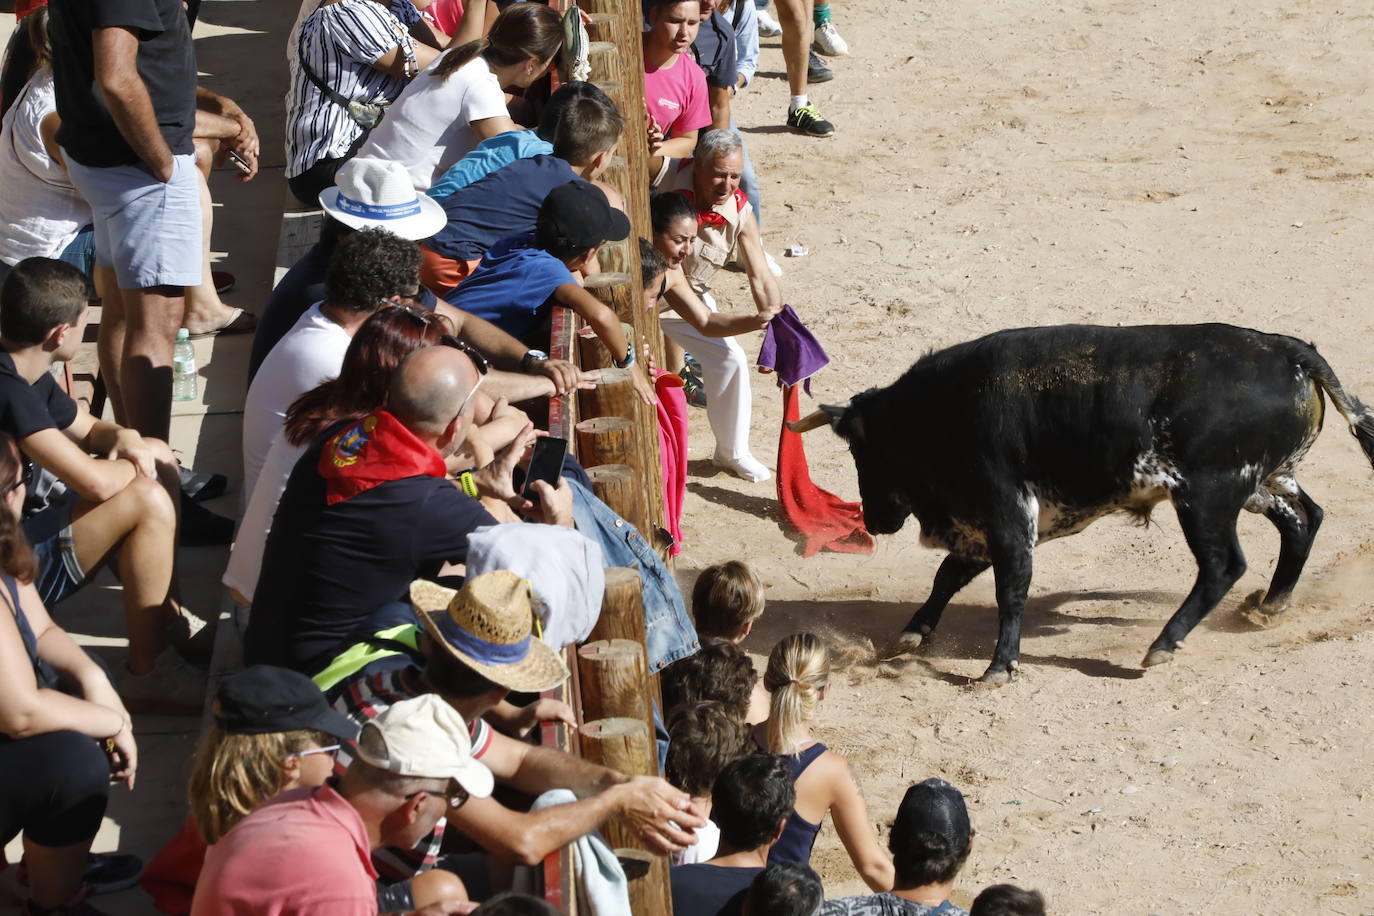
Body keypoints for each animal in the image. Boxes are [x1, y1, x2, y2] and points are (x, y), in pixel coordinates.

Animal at [796, 325, 1374, 683]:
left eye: (865, 453)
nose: (875, 520)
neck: (941, 410)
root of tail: (1285, 349)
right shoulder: (987, 525)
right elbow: (948, 576)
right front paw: (913, 633)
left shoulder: (1007, 514)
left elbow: (1010, 589)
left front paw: (999, 667)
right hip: (1262, 483)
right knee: (1304, 521)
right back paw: (1268, 608)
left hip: (1208, 496)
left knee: (1223, 565)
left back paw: (1164, 644)